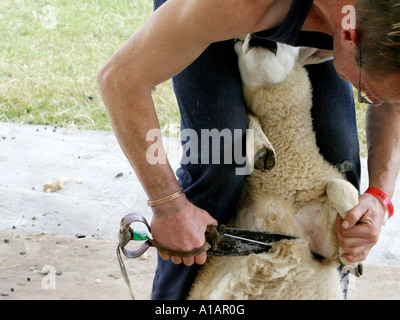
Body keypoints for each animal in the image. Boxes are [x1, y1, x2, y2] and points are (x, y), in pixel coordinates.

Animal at [189, 35, 360, 300]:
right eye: (239, 40)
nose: (262, 38)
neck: (286, 183)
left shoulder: (326, 248)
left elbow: (339, 186)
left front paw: (353, 260)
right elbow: (250, 118)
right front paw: (261, 149)